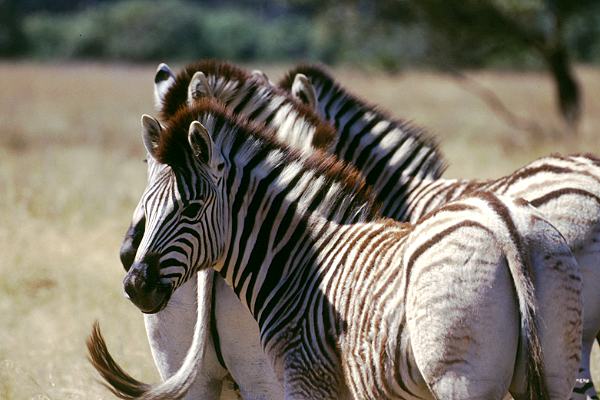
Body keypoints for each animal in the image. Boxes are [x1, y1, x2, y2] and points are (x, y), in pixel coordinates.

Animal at [89, 97, 580, 400]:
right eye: (146, 207)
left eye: (191, 209)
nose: (135, 285)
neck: (295, 264)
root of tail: (504, 220)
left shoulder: (306, 377)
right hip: (559, 362)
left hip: (460, 378)